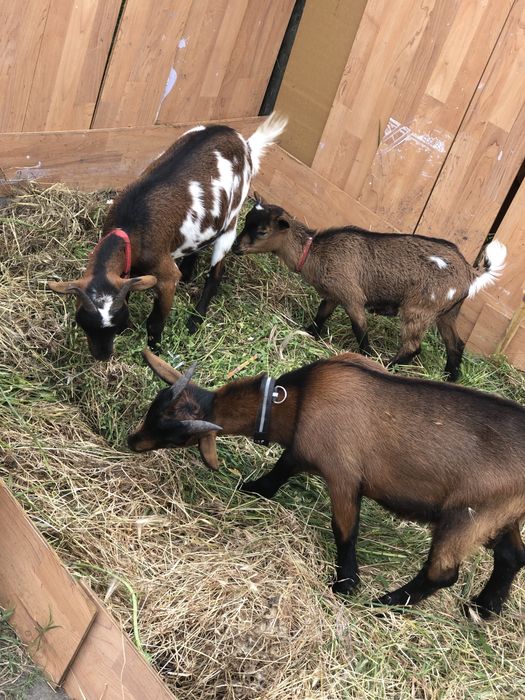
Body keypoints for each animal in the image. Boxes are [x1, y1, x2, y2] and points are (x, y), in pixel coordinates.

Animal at [48, 114, 287, 360]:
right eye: (83, 322)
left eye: (114, 323)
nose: (102, 355)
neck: (132, 225)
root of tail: (242, 141)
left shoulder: (165, 275)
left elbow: (156, 320)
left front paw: (155, 349)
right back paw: (188, 274)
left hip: (231, 222)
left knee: (216, 273)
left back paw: (195, 320)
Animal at [128, 349, 525, 619]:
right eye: (153, 408)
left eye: (176, 436)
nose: (132, 442)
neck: (296, 401)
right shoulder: (302, 449)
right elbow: (281, 468)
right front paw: (253, 488)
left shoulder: (343, 475)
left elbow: (344, 529)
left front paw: (346, 584)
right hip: (502, 515)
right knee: (511, 556)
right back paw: (482, 609)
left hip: (468, 514)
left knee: (442, 572)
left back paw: (385, 603)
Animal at [233, 199, 507, 381]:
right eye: (246, 220)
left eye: (262, 231)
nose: (235, 247)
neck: (316, 253)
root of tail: (470, 273)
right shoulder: (333, 295)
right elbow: (321, 315)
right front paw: (309, 332)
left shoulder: (351, 295)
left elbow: (360, 328)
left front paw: (366, 356)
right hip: (447, 312)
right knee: (455, 344)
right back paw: (450, 377)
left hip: (420, 308)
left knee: (413, 346)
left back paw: (389, 366)